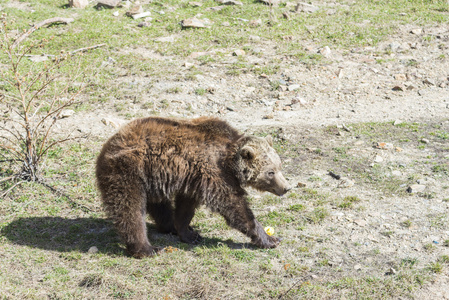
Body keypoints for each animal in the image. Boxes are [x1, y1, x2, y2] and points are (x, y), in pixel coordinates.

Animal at [95, 116, 290, 258]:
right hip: (128, 172)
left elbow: (186, 207)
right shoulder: (214, 171)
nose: (286, 187)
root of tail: (107, 146)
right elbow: (234, 205)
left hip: (151, 179)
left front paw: (188, 233)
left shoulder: (194, 177)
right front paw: (270, 239)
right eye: (270, 172)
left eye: (280, 166)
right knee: (130, 210)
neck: (229, 160)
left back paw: (170, 227)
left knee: (159, 205)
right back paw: (147, 248)